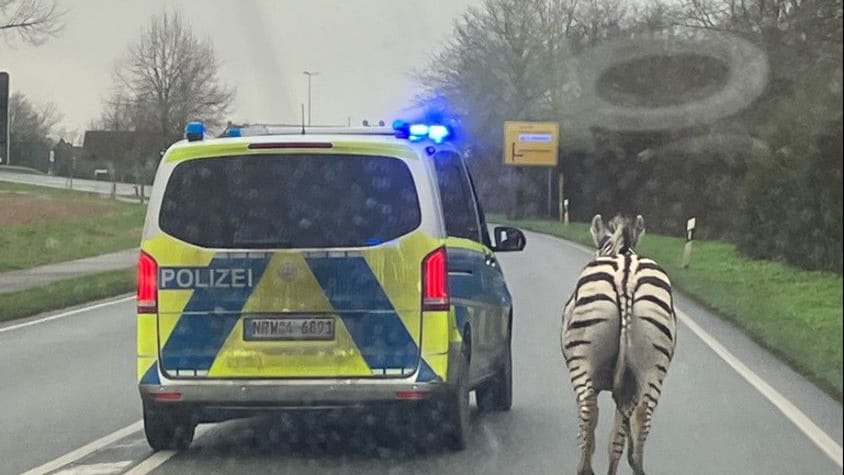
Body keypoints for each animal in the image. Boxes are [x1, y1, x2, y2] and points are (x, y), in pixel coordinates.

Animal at [560, 216, 680, 475]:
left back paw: (584, 468)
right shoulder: (628, 389)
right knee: (642, 417)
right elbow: (617, 439)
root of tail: (627, 278)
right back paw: (638, 466)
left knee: (588, 410)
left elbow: (595, 431)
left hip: (582, 361)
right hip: (653, 366)